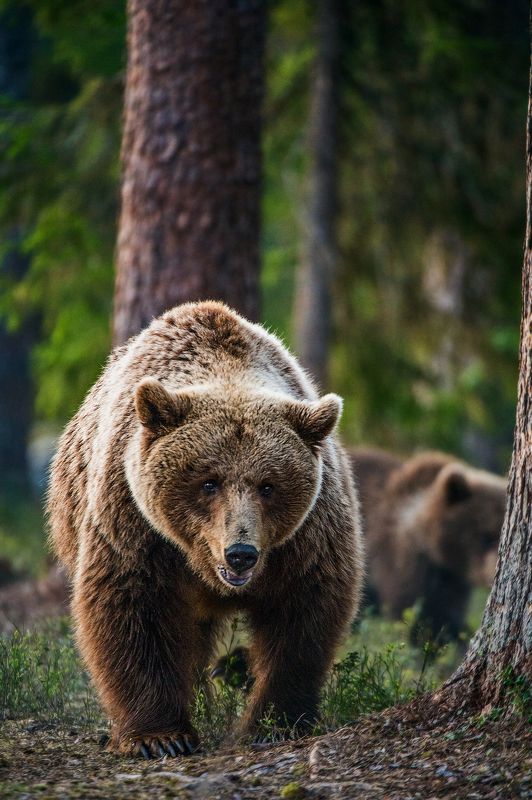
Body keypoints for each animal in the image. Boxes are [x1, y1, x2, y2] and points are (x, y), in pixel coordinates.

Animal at [47, 301, 363, 758]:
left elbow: (304, 613)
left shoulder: (308, 533)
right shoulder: (134, 521)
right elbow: (131, 606)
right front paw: (160, 736)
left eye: (269, 485)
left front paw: (271, 723)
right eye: (208, 482)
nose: (241, 553)